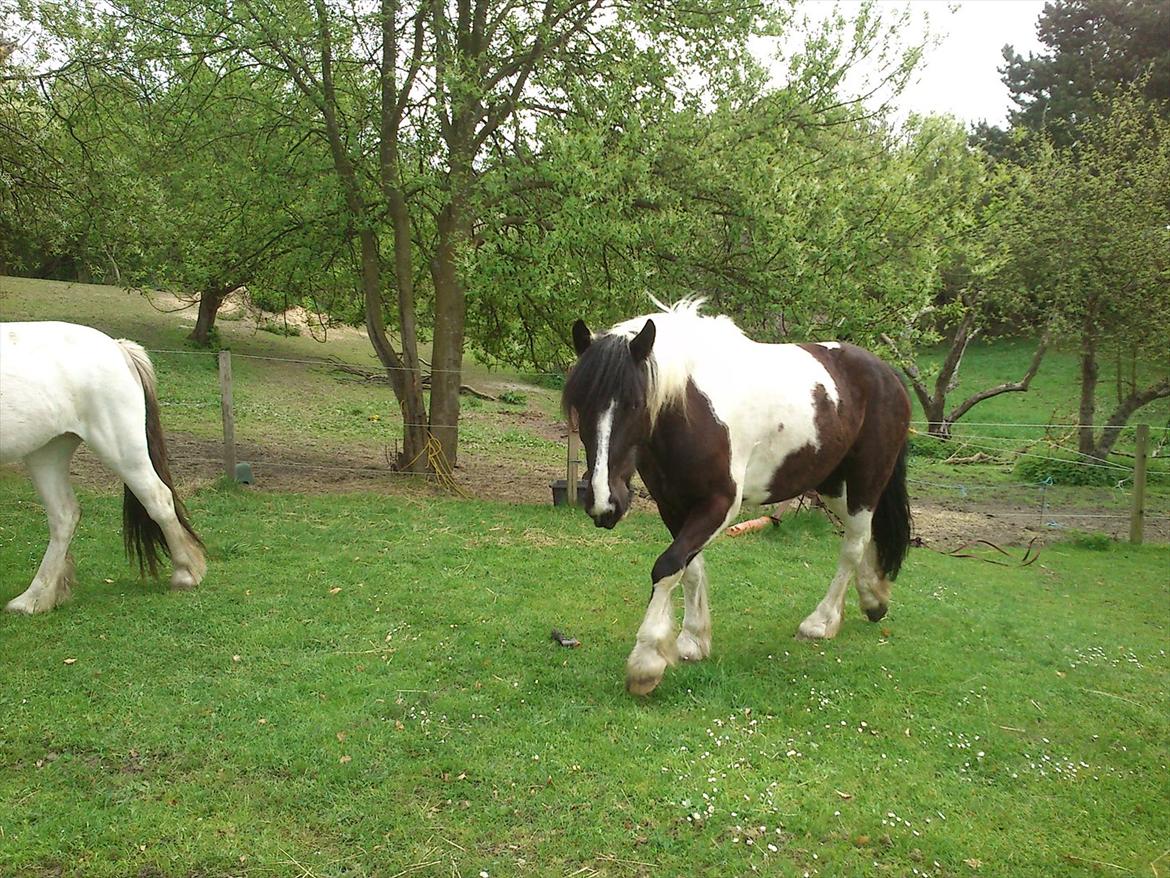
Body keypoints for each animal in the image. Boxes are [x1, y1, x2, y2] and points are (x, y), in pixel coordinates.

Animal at [0, 320, 205, 613]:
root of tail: (119, 348)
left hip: (119, 448)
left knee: (158, 499)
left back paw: (185, 574)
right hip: (47, 452)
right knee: (64, 516)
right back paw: (33, 599)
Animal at [566, 299, 912, 697]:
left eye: (636, 404)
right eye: (580, 405)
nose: (604, 504)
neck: (692, 411)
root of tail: (888, 374)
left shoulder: (719, 504)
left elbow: (667, 565)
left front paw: (646, 661)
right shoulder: (672, 505)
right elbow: (689, 567)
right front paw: (693, 640)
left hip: (866, 481)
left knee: (853, 545)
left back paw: (821, 622)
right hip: (832, 484)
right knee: (868, 534)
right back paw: (874, 598)